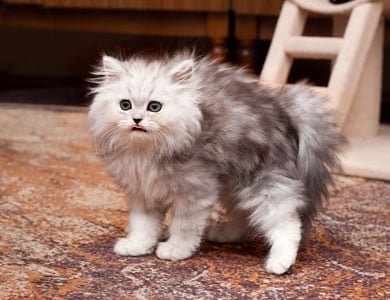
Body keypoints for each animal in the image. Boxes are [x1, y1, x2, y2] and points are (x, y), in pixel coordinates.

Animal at [88, 51, 344, 274]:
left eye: (154, 107)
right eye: (125, 105)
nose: (137, 120)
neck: (146, 151)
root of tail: (284, 108)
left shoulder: (195, 191)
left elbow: (184, 227)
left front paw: (175, 250)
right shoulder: (143, 192)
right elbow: (143, 226)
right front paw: (137, 246)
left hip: (260, 181)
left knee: (287, 221)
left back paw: (280, 262)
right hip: (233, 185)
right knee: (245, 218)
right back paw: (223, 234)